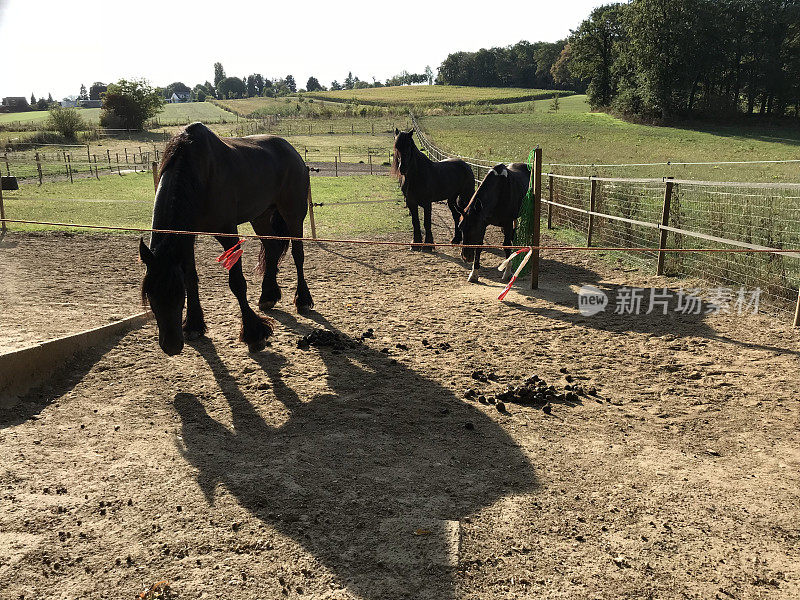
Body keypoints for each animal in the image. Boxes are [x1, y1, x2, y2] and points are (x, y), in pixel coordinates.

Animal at [139, 123, 314, 356]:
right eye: (150, 295)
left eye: (178, 295)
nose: (171, 346)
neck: (198, 174)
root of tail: (292, 151)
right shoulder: (188, 236)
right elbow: (191, 277)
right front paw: (194, 325)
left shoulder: (227, 233)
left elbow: (237, 283)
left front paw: (254, 334)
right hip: (261, 216)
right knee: (272, 248)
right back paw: (268, 296)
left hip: (293, 214)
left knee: (298, 254)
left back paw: (303, 300)